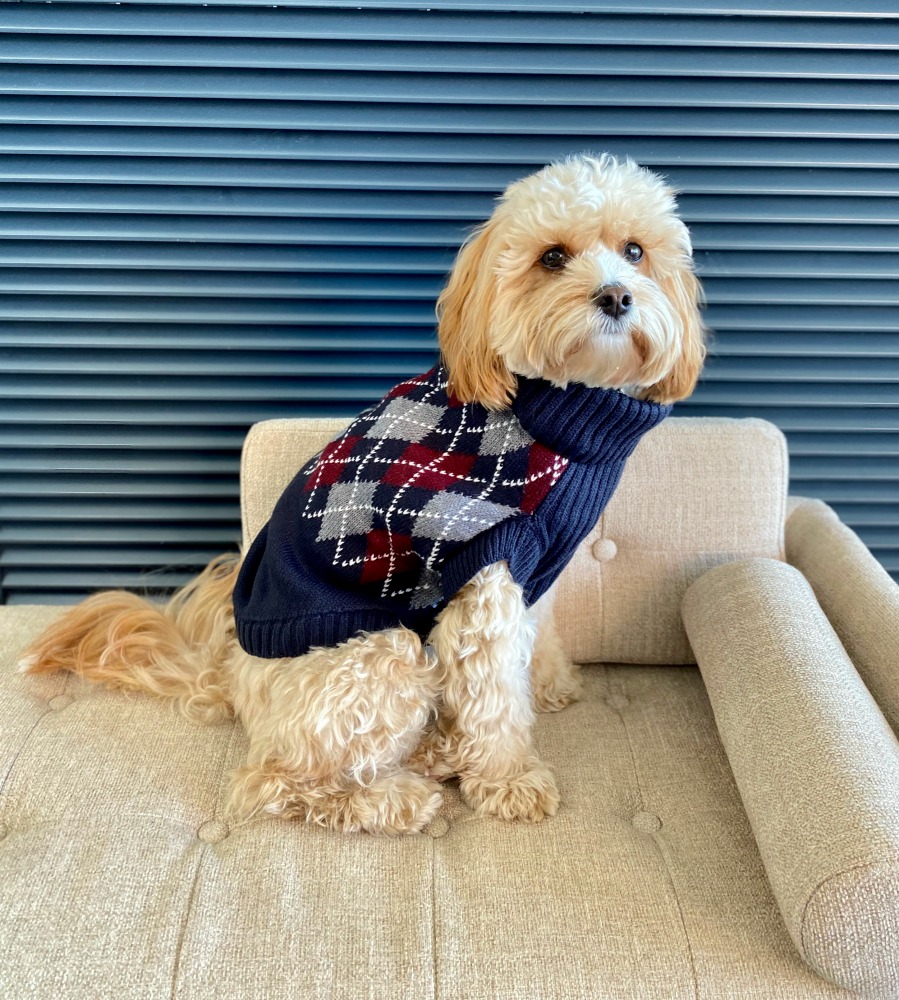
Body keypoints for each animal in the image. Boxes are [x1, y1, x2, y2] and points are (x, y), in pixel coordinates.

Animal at [19, 150, 704, 836]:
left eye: (636, 251)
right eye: (552, 257)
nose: (615, 295)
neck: (555, 413)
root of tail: (230, 673)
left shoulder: (536, 563)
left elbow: (538, 636)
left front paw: (550, 681)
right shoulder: (484, 571)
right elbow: (494, 698)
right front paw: (509, 779)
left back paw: (435, 750)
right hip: (378, 652)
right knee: (274, 780)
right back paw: (395, 798)